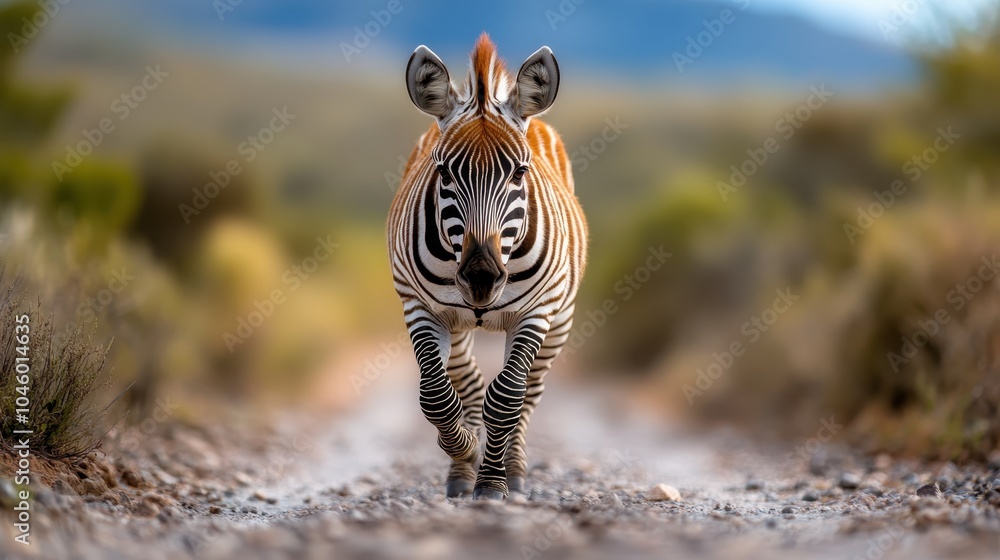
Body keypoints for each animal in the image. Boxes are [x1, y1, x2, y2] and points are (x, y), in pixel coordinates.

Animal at [387, 34, 588, 500]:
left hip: (561, 319)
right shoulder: (420, 307)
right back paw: (464, 468)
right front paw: (465, 451)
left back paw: (513, 470)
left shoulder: (538, 312)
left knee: (530, 391)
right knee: (467, 380)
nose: (480, 278)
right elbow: (435, 396)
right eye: (443, 172)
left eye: (519, 172)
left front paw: (493, 482)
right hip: (457, 323)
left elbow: (509, 396)